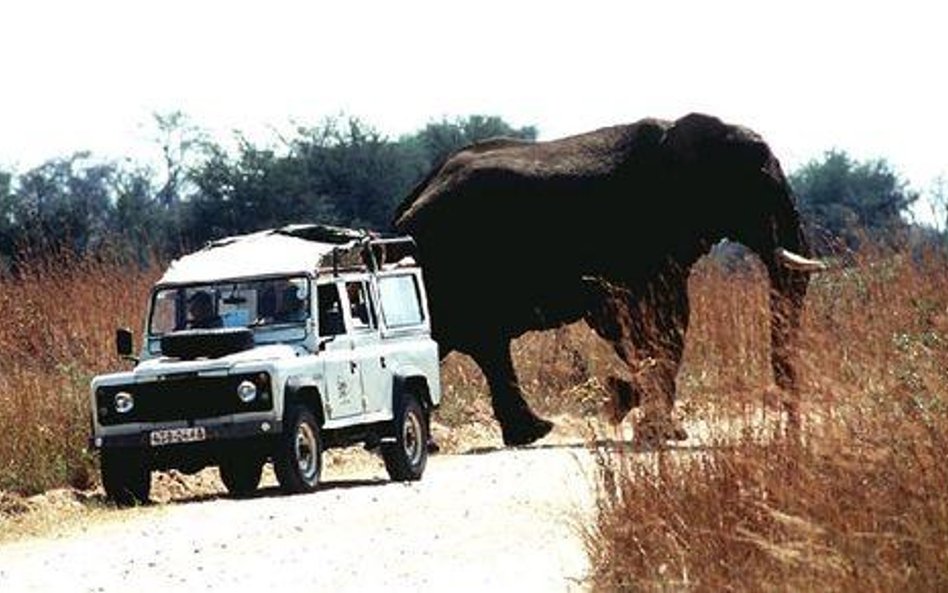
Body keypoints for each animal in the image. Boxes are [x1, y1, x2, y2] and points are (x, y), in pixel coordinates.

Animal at [390, 112, 824, 444]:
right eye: (761, 184)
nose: (791, 435)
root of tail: (407, 203)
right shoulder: (640, 240)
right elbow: (657, 323)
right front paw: (643, 418)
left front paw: (633, 409)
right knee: (479, 343)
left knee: (480, 346)